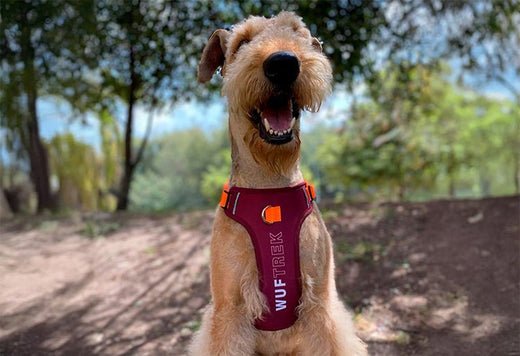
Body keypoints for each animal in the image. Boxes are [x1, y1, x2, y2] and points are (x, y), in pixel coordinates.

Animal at [190, 11, 366, 356]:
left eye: (298, 33)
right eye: (242, 42)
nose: (283, 63)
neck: (270, 188)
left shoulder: (321, 303)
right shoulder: (228, 311)